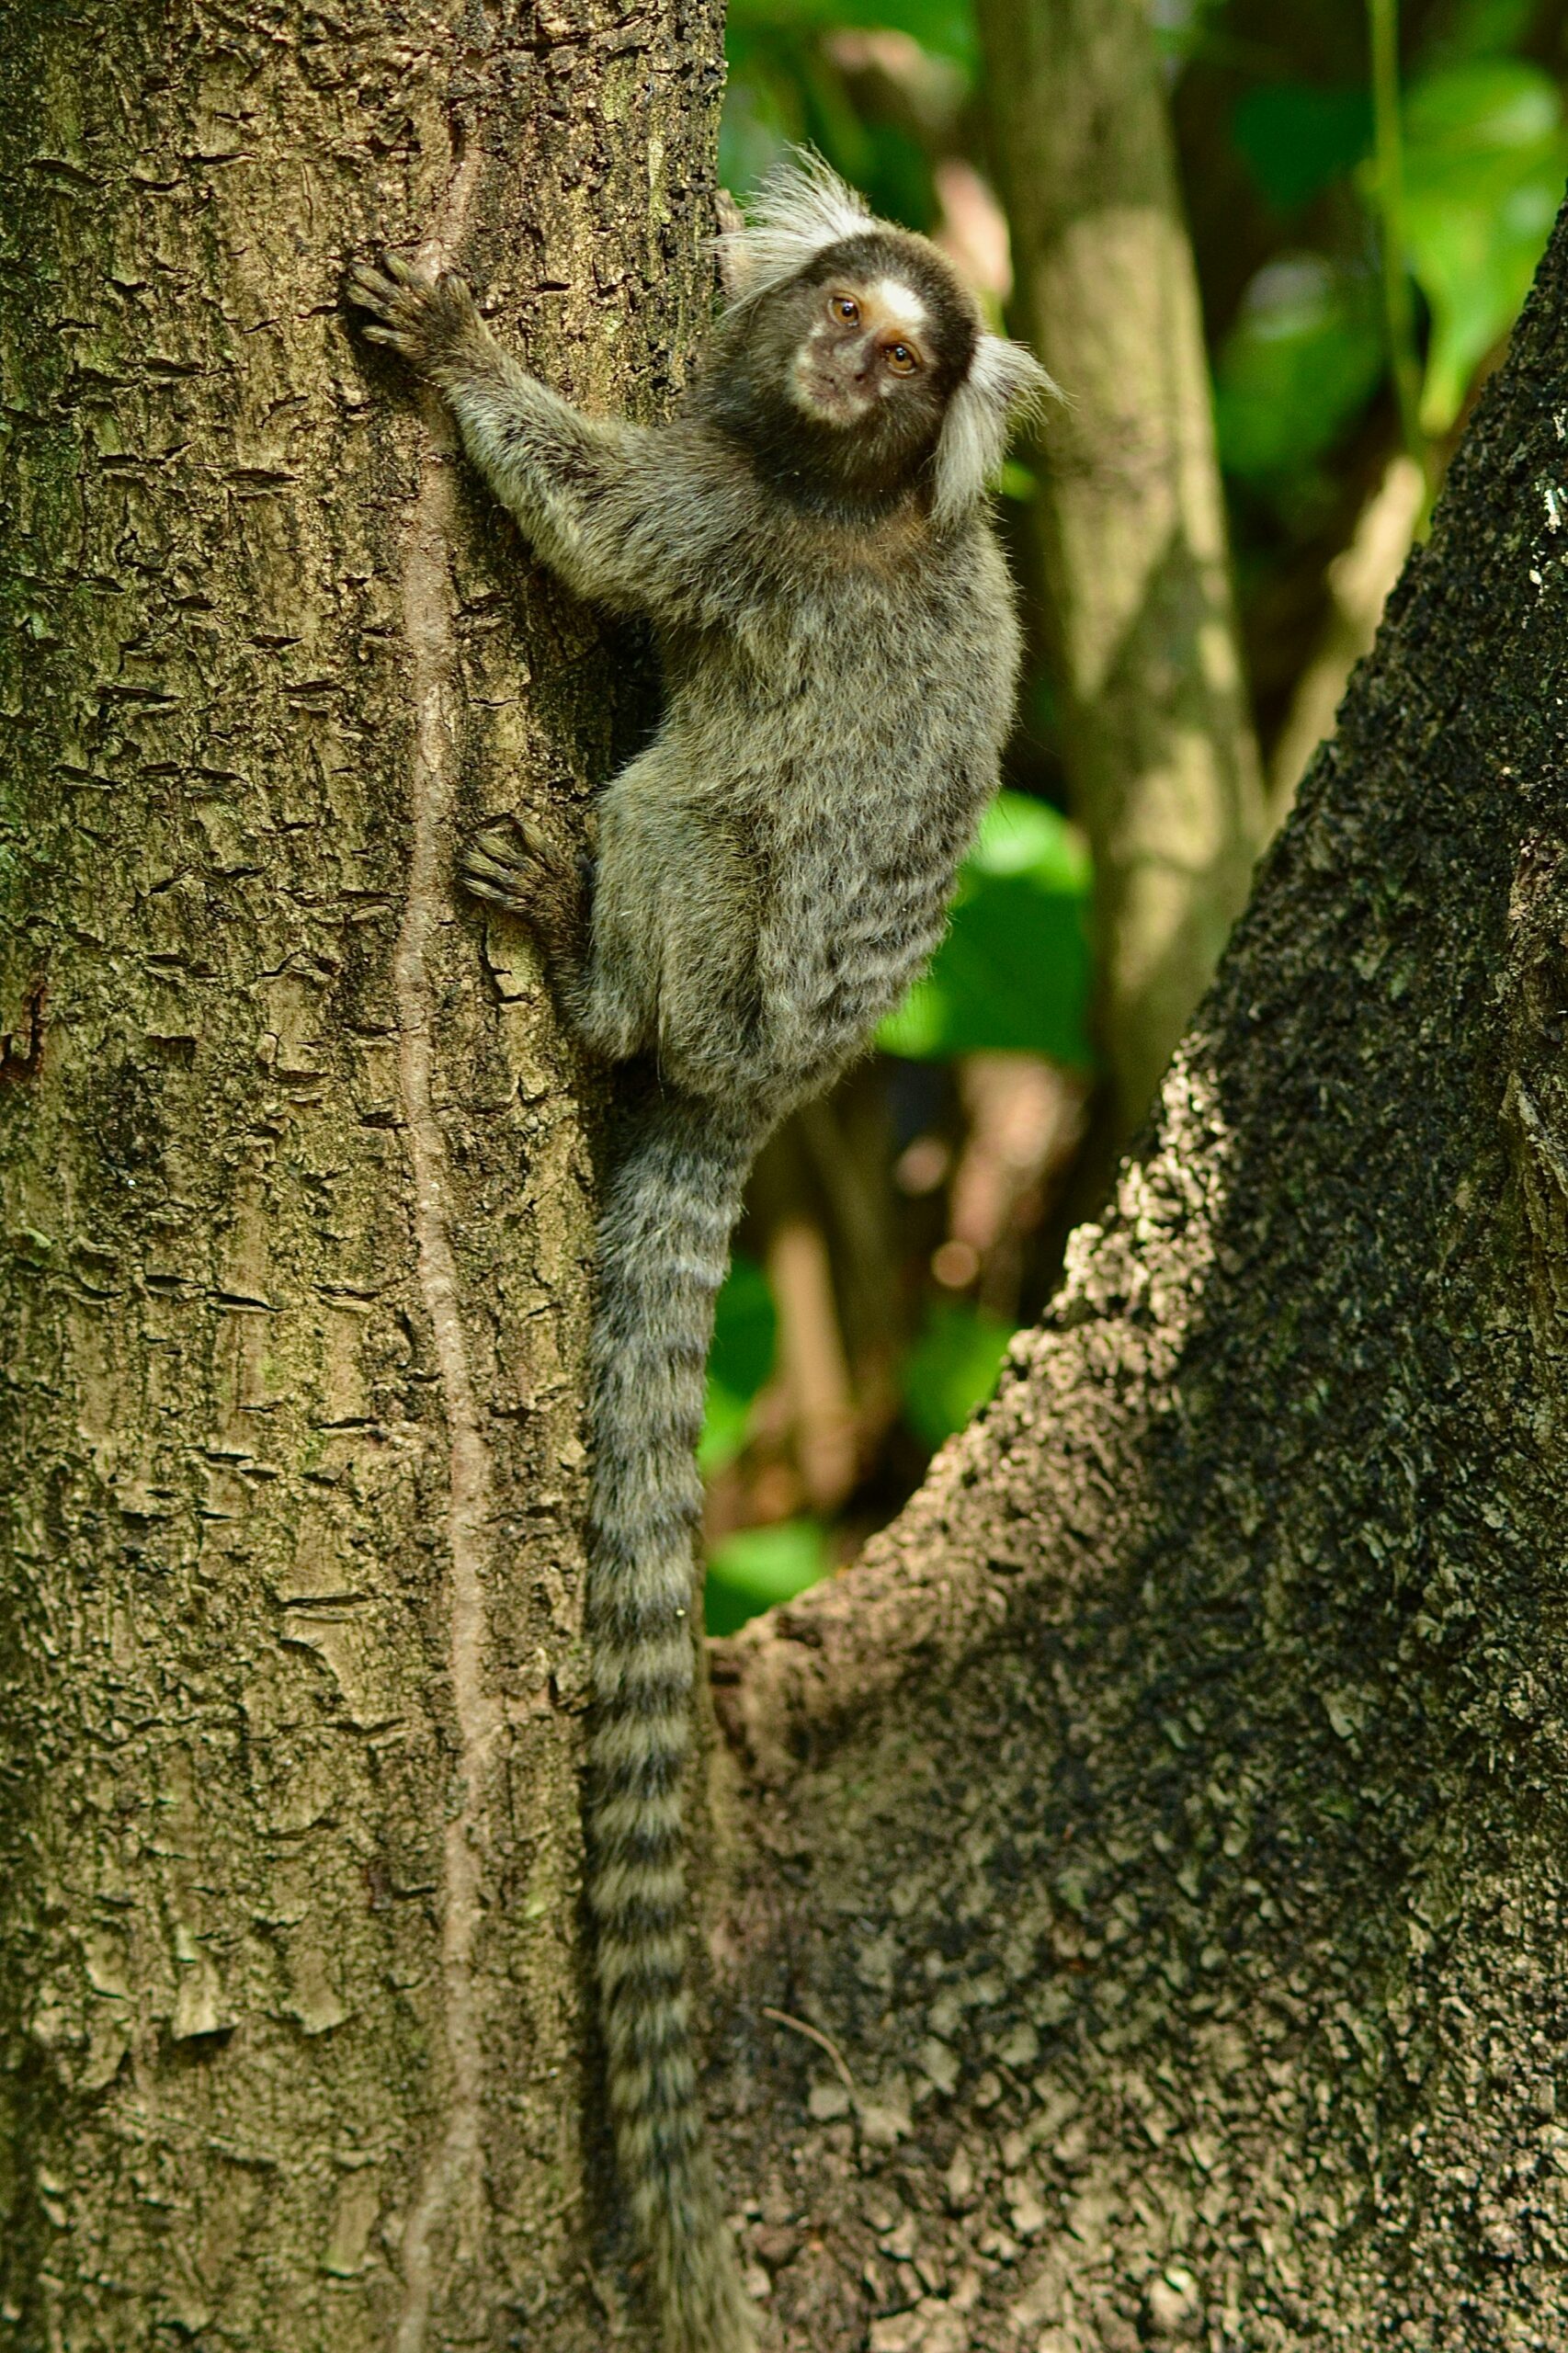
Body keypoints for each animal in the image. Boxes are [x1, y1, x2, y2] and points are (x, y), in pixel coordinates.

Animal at [347, 153, 1051, 2353]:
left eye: (905, 360)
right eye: (843, 314)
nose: (849, 362)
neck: (845, 482)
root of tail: (766, 1090)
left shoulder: (746, 531)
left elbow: (600, 516)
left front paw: (460, 347)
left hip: (717, 945)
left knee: (673, 815)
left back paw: (580, 961)